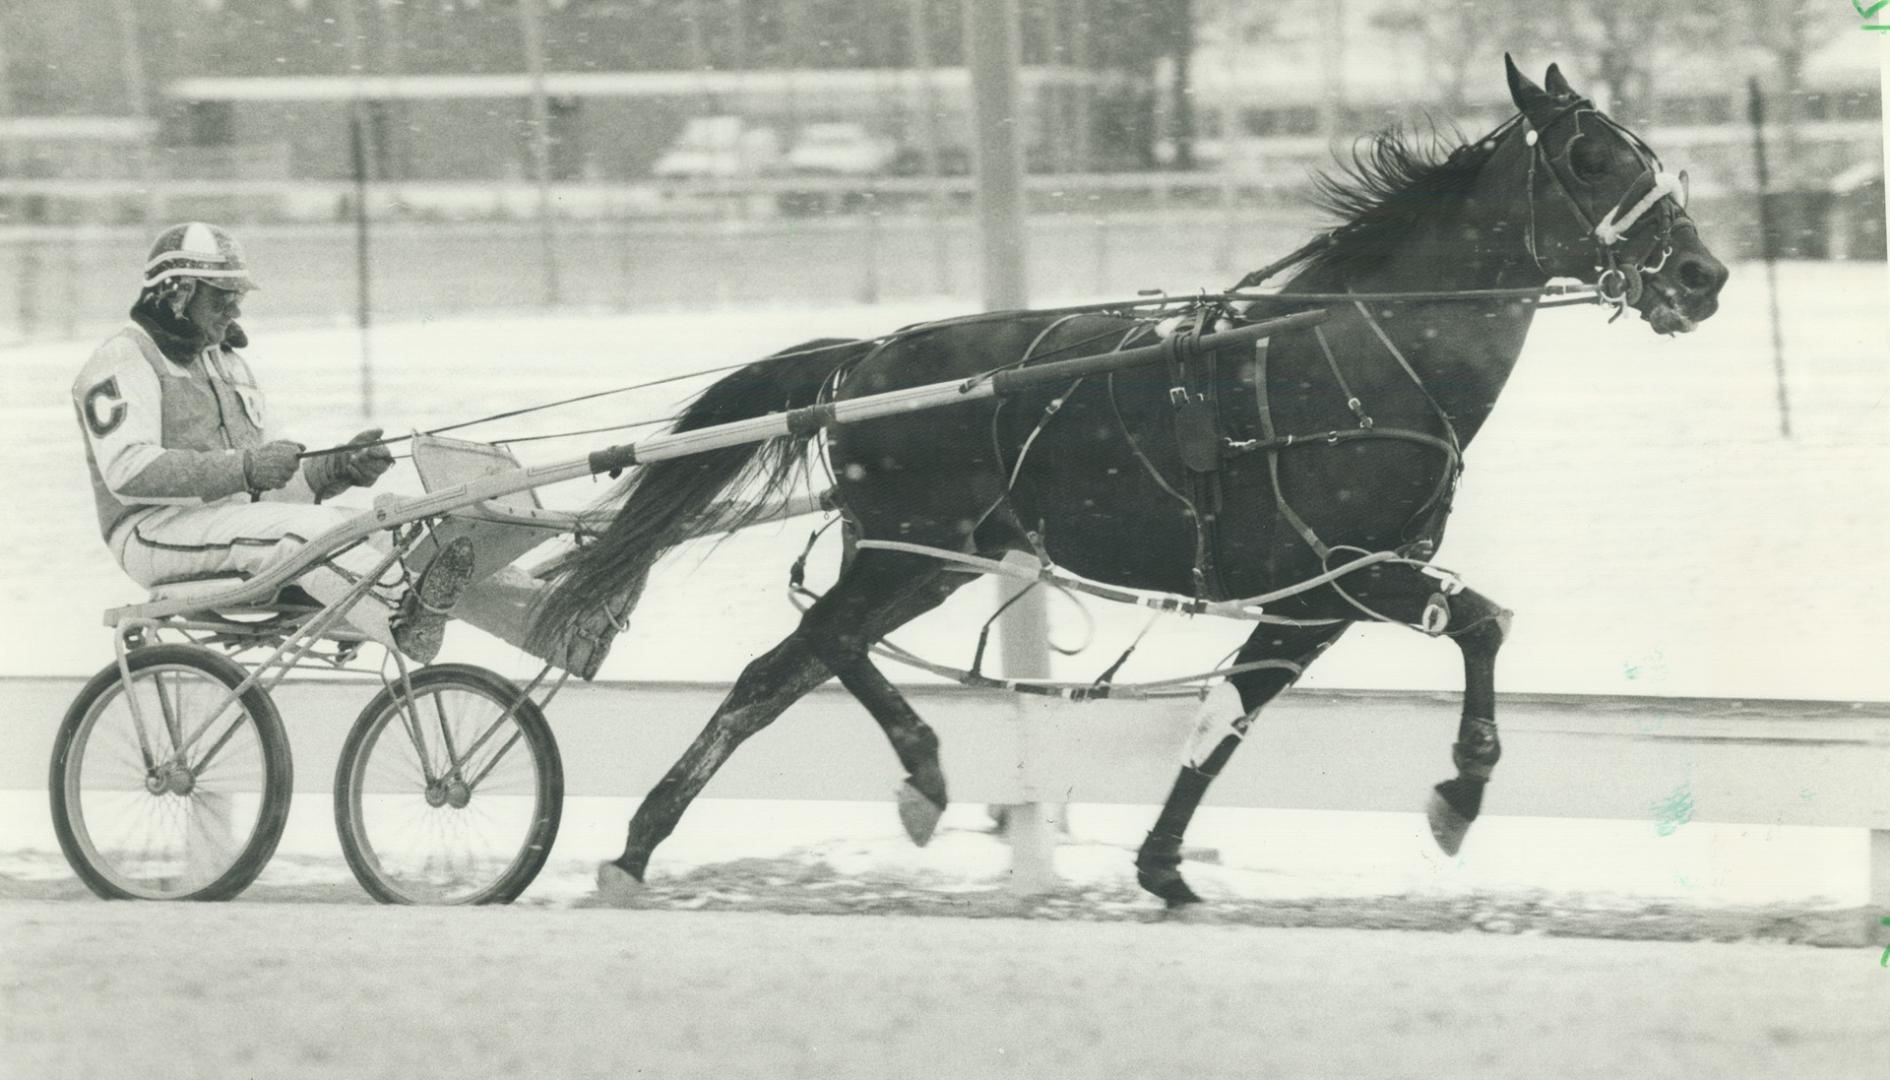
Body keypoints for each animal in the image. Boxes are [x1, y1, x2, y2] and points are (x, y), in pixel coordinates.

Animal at [536, 56, 1731, 904]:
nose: (1703, 274)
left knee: (786, 667)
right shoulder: (1350, 571)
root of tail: (870, 358)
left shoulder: (1310, 603)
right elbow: (1484, 623)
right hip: (906, 549)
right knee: (808, 649)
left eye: (1649, 152)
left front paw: (1164, 865)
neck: (1362, 357)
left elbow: (1231, 712)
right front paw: (1460, 791)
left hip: (928, 561)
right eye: (1591, 159)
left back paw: (676, 837)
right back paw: (880, 782)